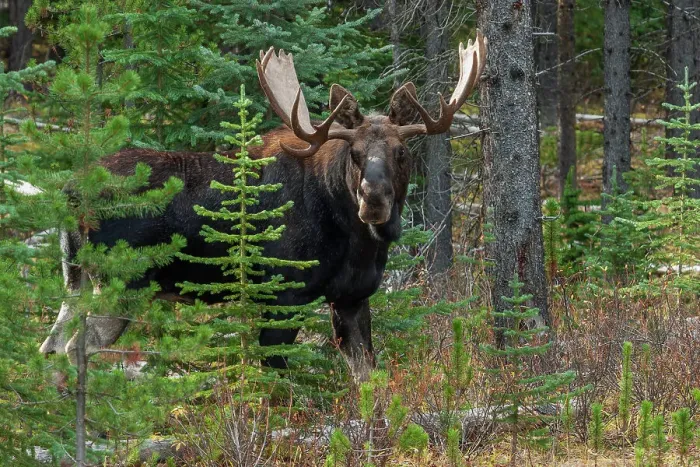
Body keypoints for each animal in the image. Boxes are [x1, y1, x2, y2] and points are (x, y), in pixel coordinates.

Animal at [40, 32, 487, 382]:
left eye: (401, 152)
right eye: (355, 153)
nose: (373, 197)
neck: (358, 241)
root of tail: (70, 190)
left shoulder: (352, 296)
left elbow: (367, 376)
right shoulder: (282, 296)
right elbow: (274, 377)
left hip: (75, 277)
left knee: (50, 344)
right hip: (121, 282)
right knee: (76, 347)